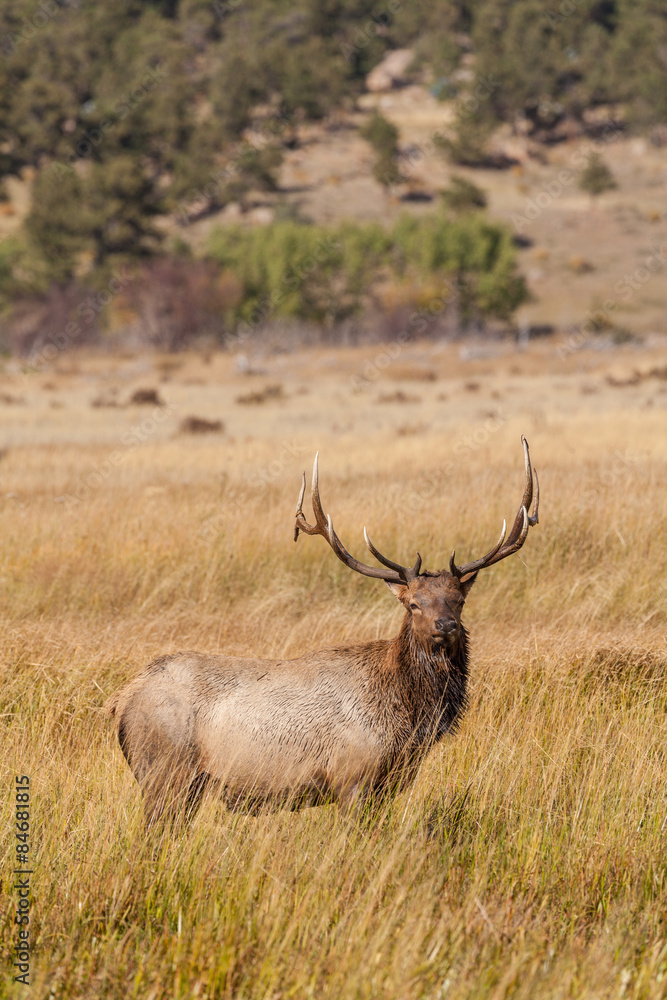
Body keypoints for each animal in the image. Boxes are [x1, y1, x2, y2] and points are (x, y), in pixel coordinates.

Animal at [107, 436, 539, 824]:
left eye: (459, 600)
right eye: (413, 603)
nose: (445, 625)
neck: (408, 717)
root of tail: (122, 701)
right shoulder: (353, 778)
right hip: (166, 774)